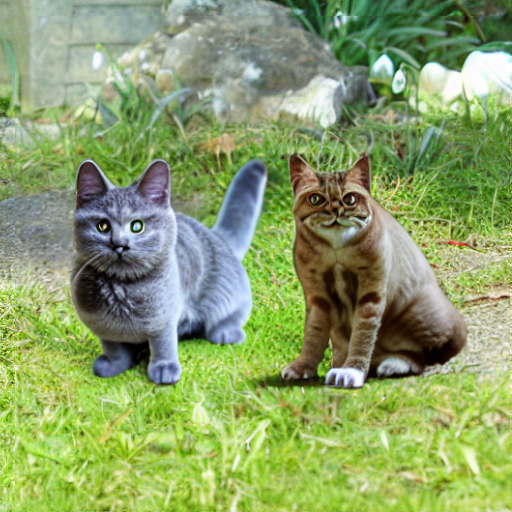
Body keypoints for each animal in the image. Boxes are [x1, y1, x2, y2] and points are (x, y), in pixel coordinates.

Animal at [71, 158, 267, 385]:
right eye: (102, 226)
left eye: (137, 226)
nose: (119, 244)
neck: (122, 290)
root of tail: (216, 236)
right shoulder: (102, 326)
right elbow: (114, 348)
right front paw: (113, 365)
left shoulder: (163, 319)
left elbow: (163, 343)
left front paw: (164, 369)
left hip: (226, 294)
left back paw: (226, 333)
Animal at [281, 153, 467, 388]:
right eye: (316, 199)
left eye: (350, 199)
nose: (336, 210)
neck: (336, 249)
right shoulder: (317, 298)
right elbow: (313, 334)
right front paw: (302, 366)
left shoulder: (371, 294)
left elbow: (362, 334)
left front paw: (352, 371)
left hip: (423, 313)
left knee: (424, 356)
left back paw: (393, 364)